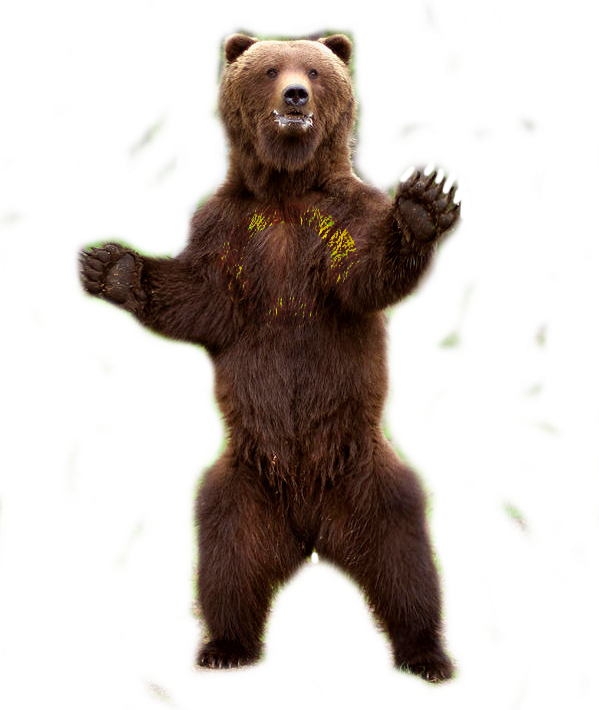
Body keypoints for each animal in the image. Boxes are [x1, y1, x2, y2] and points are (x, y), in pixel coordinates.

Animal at [75, 32, 457, 679]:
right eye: (272, 69)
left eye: (315, 70)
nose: (296, 94)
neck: (285, 188)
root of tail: (310, 530)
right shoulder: (228, 230)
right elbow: (202, 298)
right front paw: (111, 267)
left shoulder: (337, 220)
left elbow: (363, 274)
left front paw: (422, 206)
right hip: (245, 481)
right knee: (228, 555)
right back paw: (224, 646)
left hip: (363, 469)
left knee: (403, 553)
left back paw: (425, 652)